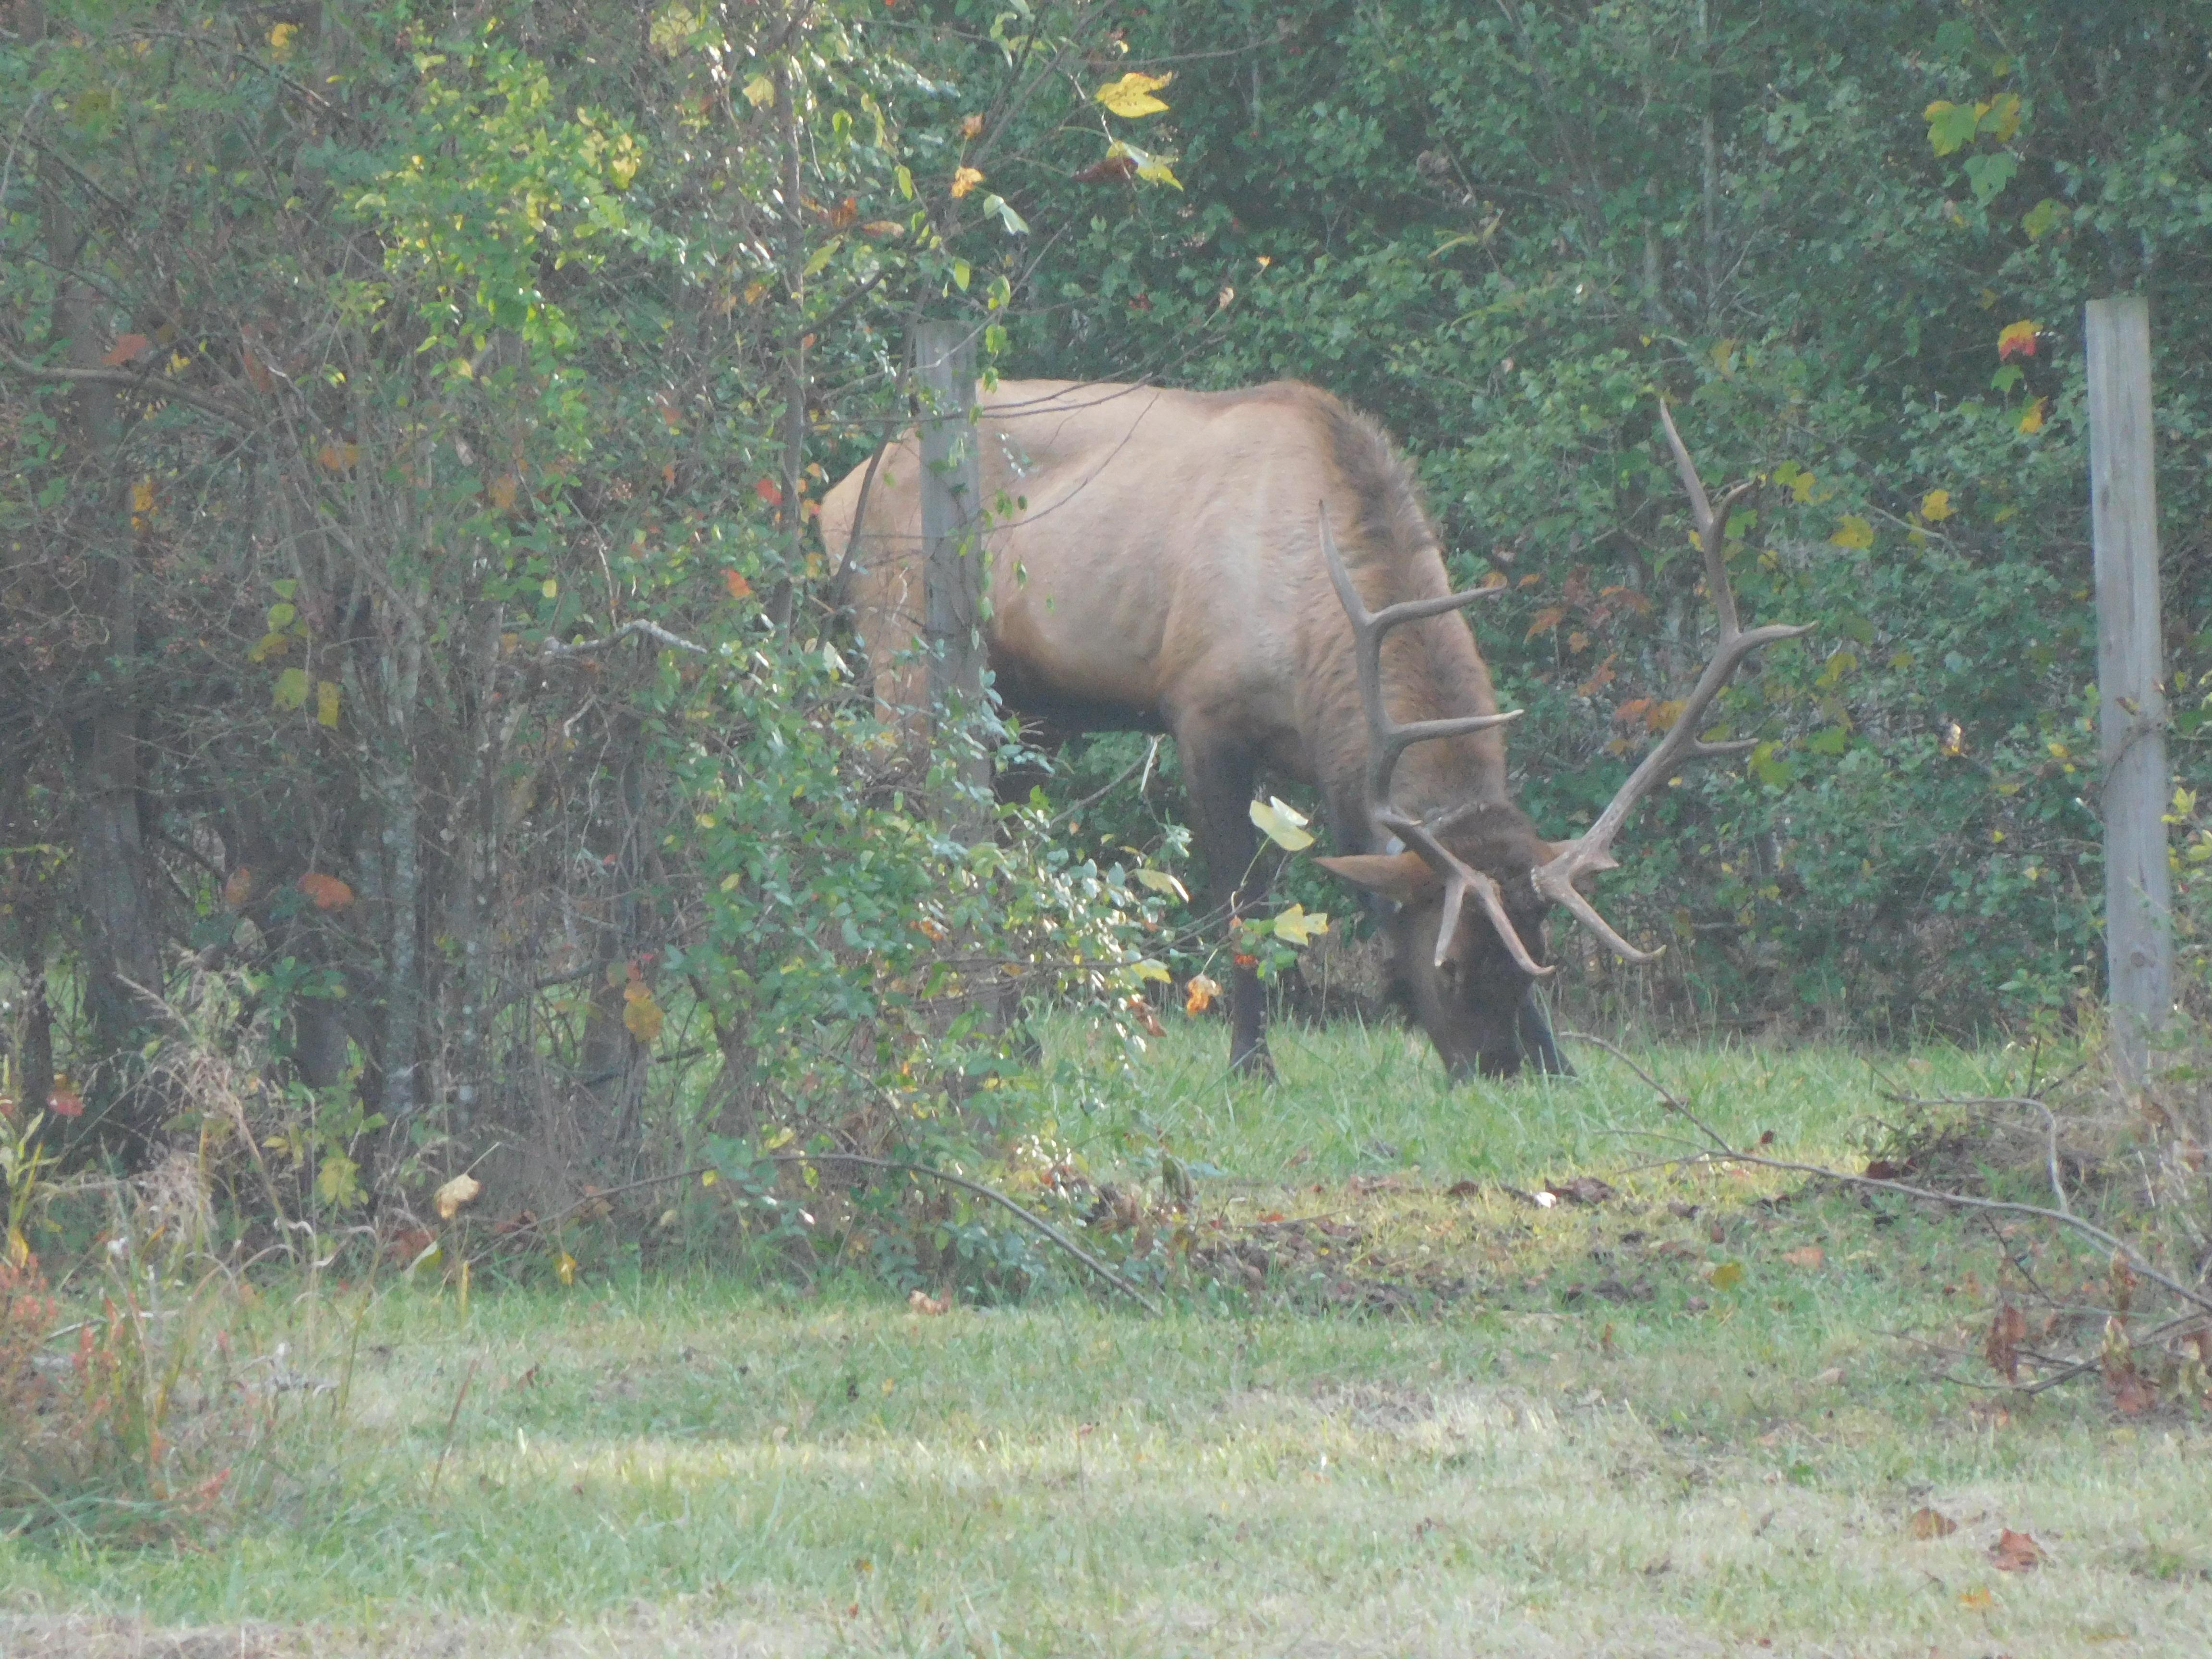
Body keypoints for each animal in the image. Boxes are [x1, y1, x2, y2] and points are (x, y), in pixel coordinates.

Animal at [820, 377, 1806, 1080]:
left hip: (1024, 708)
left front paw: (1565, 1063)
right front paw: (1251, 1066)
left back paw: (1010, 1039)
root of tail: (839, 493)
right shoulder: (1201, 715)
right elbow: (1240, 906)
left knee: (994, 845)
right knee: (885, 809)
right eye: (1448, 966)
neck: (1319, 640)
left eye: (1539, 960)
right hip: (906, 653)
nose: (1500, 1072)